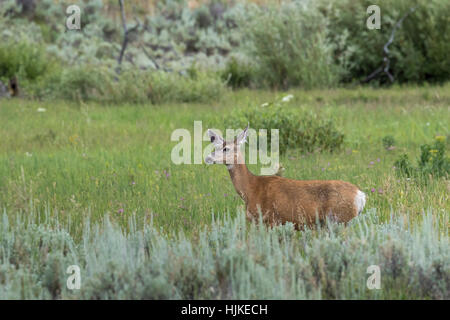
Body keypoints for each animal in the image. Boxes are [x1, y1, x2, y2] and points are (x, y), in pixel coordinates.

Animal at [204, 125, 366, 230]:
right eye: (215, 147)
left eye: (226, 148)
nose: (207, 158)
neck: (251, 189)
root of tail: (361, 195)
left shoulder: (270, 221)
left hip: (341, 220)